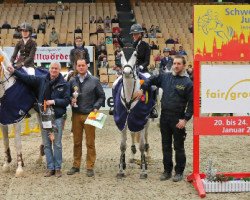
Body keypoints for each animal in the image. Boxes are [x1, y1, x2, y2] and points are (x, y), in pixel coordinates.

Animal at [112, 50, 155, 179]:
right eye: (120, 54)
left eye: (135, 54)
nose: (126, 72)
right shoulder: (122, 120)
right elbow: (122, 145)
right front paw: (121, 170)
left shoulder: (141, 119)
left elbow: (141, 145)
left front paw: (143, 171)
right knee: (131, 135)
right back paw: (130, 157)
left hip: (146, 121)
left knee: (145, 137)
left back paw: (146, 156)